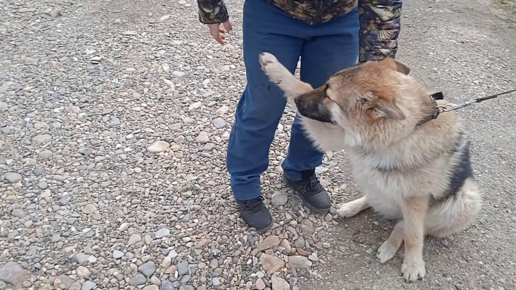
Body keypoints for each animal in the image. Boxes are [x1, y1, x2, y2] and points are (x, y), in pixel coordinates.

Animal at [260, 52, 482, 280]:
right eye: (325, 85)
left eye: (328, 95)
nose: (297, 101)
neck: (403, 134)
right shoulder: (338, 134)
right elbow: (300, 84)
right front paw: (275, 68)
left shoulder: (416, 198)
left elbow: (413, 234)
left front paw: (413, 263)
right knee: (379, 201)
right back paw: (352, 207)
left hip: (467, 200)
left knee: (408, 225)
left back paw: (390, 245)